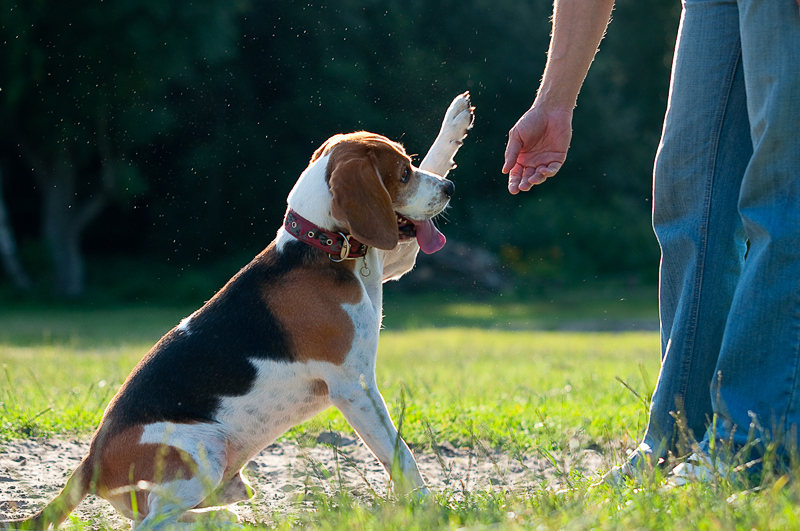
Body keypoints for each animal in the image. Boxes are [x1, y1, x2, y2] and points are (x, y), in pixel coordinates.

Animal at [0, 93, 472, 528]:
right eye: (404, 173)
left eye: (412, 162)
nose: (450, 189)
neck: (320, 245)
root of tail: (89, 462)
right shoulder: (353, 387)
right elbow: (401, 454)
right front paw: (430, 510)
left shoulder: (390, 262)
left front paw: (456, 121)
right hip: (203, 449)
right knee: (151, 524)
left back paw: (226, 519)